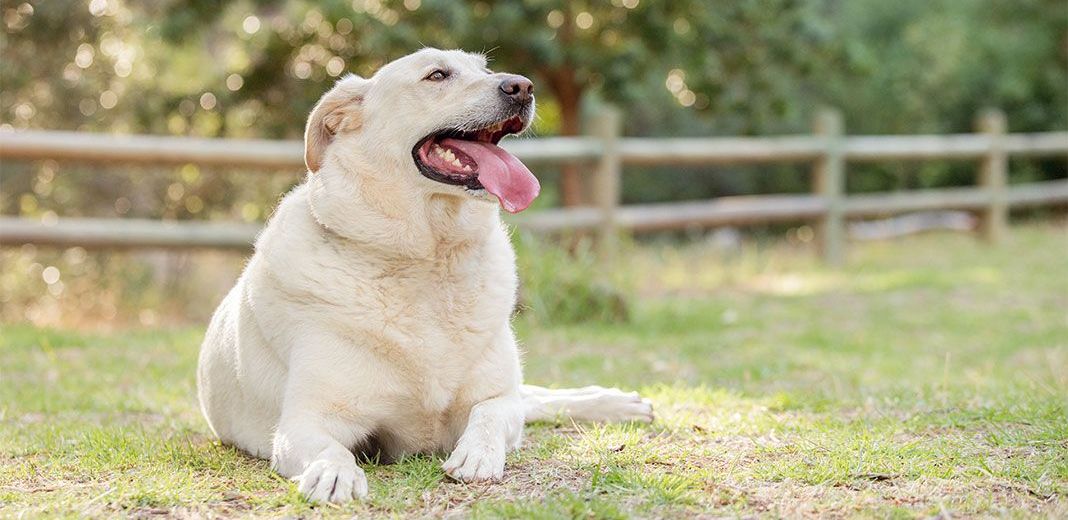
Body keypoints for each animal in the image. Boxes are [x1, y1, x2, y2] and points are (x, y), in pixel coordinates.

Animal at [197, 48, 653, 503]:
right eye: (437, 75)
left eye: (485, 69)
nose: (523, 86)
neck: (430, 261)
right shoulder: (306, 420)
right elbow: (330, 449)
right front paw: (333, 472)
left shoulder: (493, 396)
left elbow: (491, 413)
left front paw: (478, 454)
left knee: (533, 397)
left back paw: (616, 402)